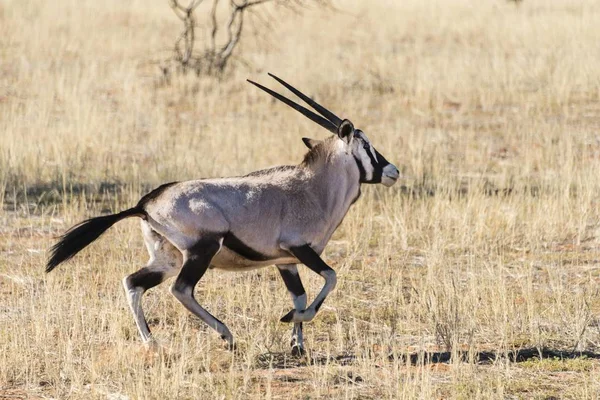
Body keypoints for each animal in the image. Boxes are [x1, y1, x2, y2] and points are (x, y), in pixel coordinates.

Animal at [47, 73, 400, 354]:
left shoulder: (286, 262)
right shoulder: (298, 249)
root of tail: (145, 203)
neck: (314, 186)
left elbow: (300, 296)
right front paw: (290, 321)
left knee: (133, 282)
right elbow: (330, 278)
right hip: (202, 250)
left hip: (166, 258)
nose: (393, 171)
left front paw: (297, 344)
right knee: (181, 289)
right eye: (367, 145)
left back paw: (152, 343)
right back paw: (226, 335)